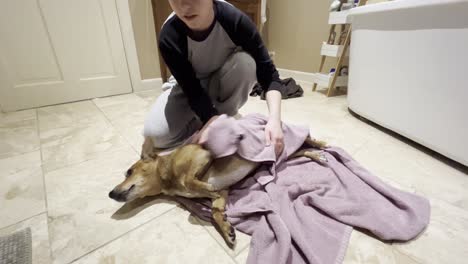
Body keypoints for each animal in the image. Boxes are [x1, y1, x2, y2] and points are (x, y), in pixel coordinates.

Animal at [110, 135, 330, 249]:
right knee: (301, 149)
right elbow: (215, 213)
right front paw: (226, 230)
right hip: (286, 153)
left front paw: (205, 187)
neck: (168, 175)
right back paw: (317, 155)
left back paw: (321, 143)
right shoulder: (222, 193)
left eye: (129, 171)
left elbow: (190, 180)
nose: (111, 193)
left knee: (307, 137)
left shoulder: (204, 156)